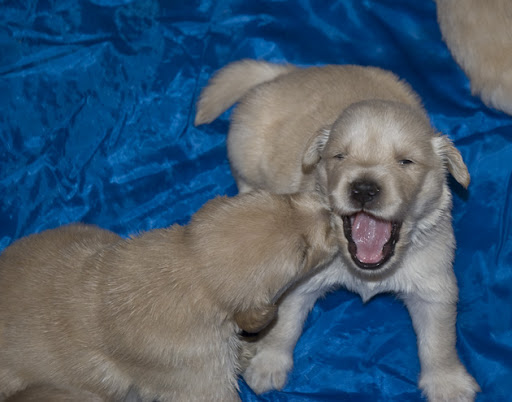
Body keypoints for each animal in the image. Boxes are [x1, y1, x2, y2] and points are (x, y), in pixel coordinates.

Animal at [196, 60, 480, 402]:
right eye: (339, 156)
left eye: (406, 162)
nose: (364, 189)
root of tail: (289, 72)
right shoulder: (299, 281)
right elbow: (284, 326)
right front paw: (267, 365)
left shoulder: (434, 285)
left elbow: (439, 340)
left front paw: (448, 384)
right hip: (244, 147)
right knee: (246, 180)